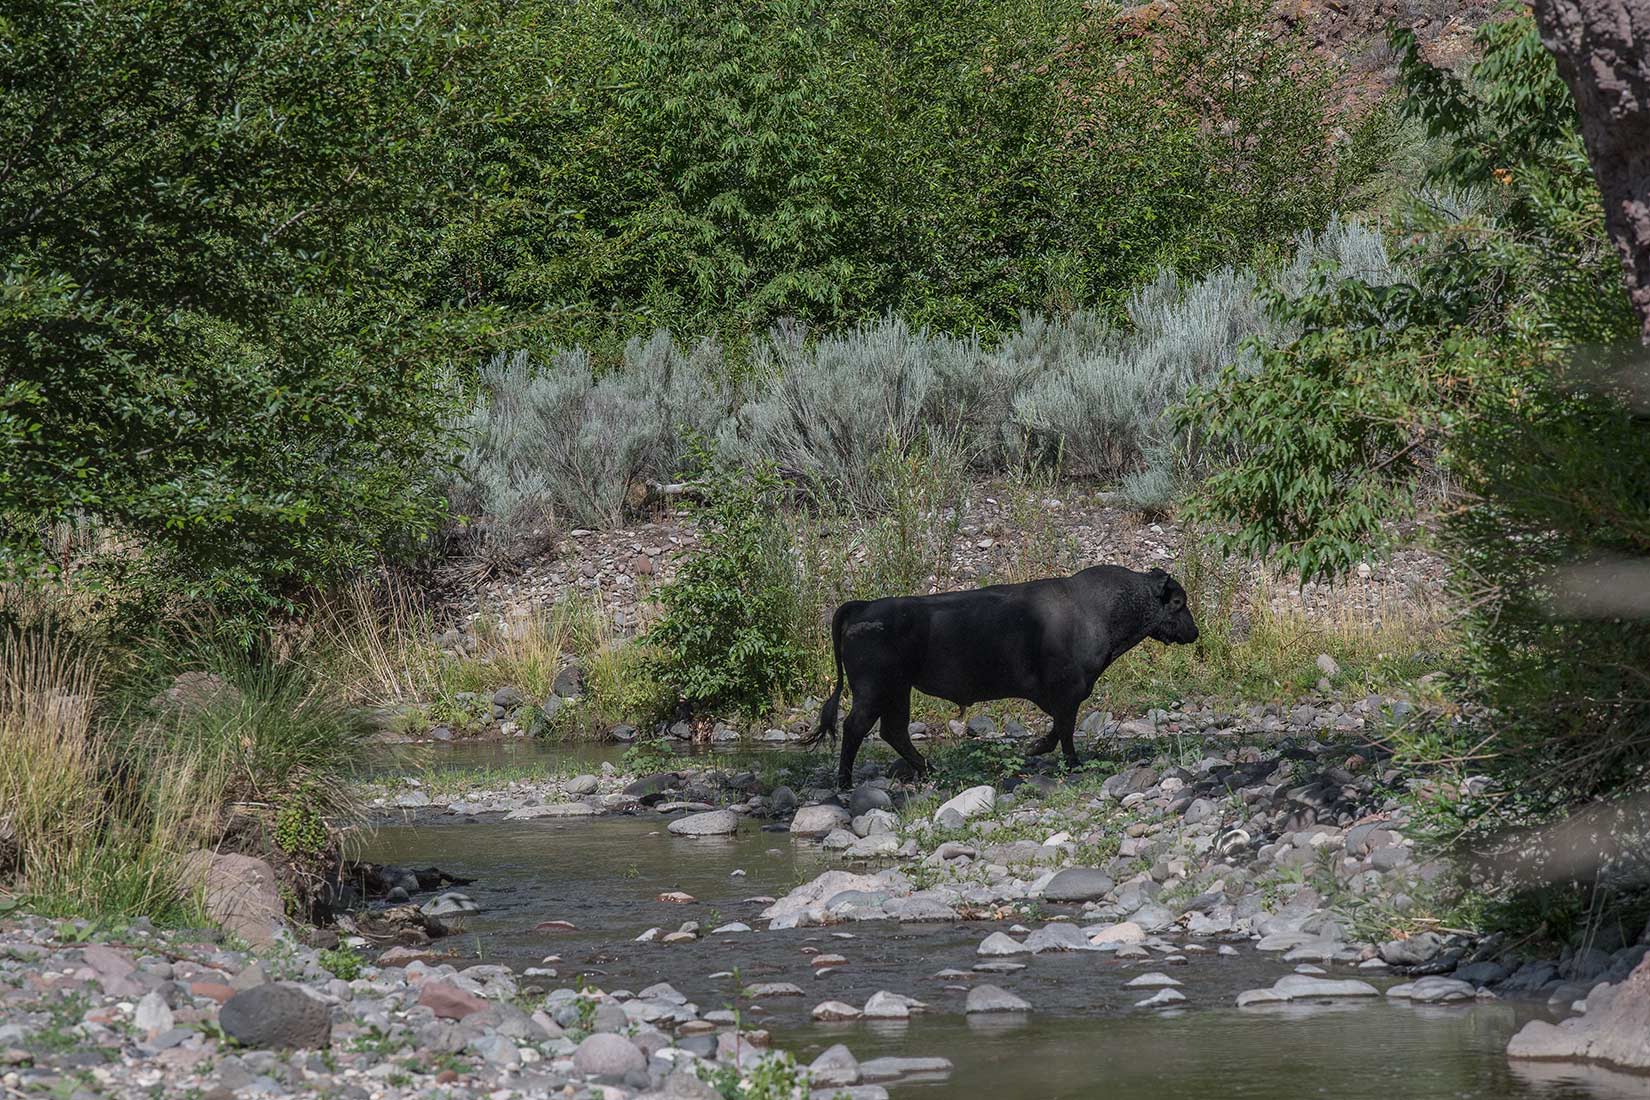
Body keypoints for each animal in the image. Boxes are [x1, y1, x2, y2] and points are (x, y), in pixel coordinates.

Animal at [807, 565, 1199, 788]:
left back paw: (928, 768)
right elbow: (1065, 729)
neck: (1098, 609)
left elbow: (1059, 727)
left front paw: (1036, 747)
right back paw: (845, 782)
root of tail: (862, 607)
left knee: (893, 731)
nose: (1193, 632)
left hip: (897, 692)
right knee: (856, 728)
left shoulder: (1065, 695)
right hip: (875, 690)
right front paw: (1068, 760)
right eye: (1178, 602)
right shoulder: (1068, 691)